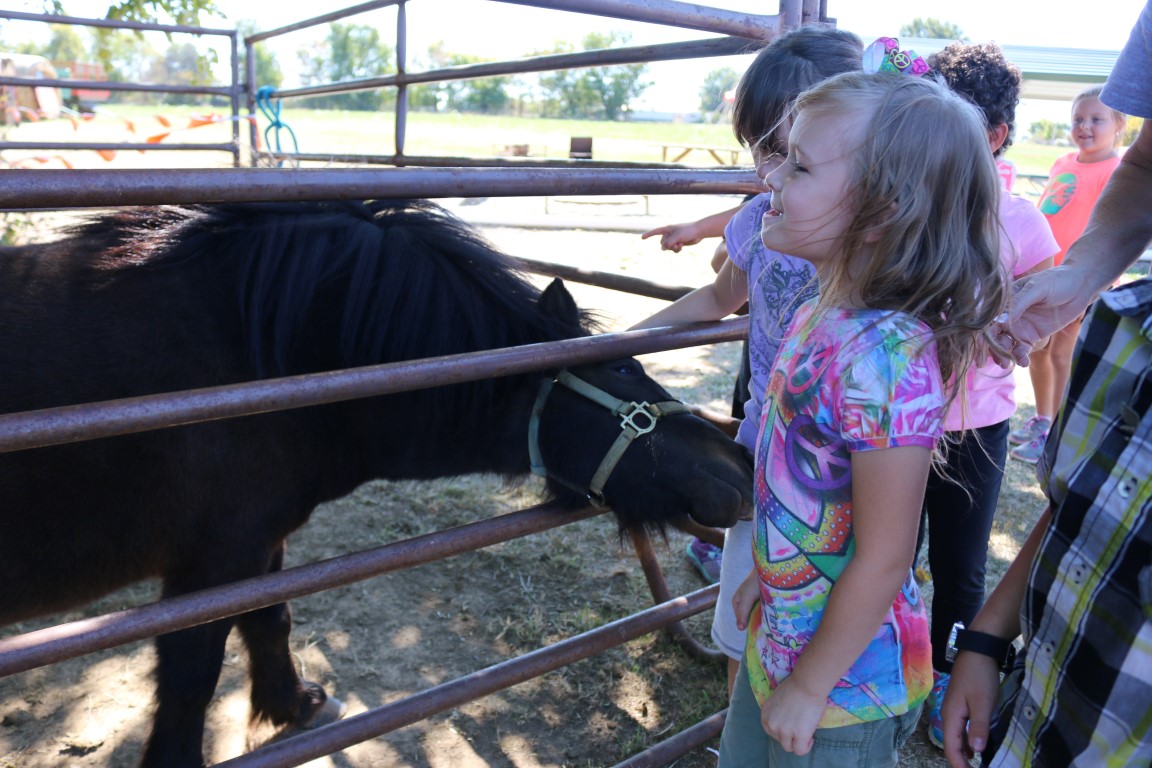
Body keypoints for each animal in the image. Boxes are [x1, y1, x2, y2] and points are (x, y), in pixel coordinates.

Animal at [0, 199, 752, 768]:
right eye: (624, 370)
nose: (738, 465)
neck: (271, 361)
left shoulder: (256, 545)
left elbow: (270, 618)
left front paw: (293, 704)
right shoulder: (208, 565)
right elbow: (189, 677)